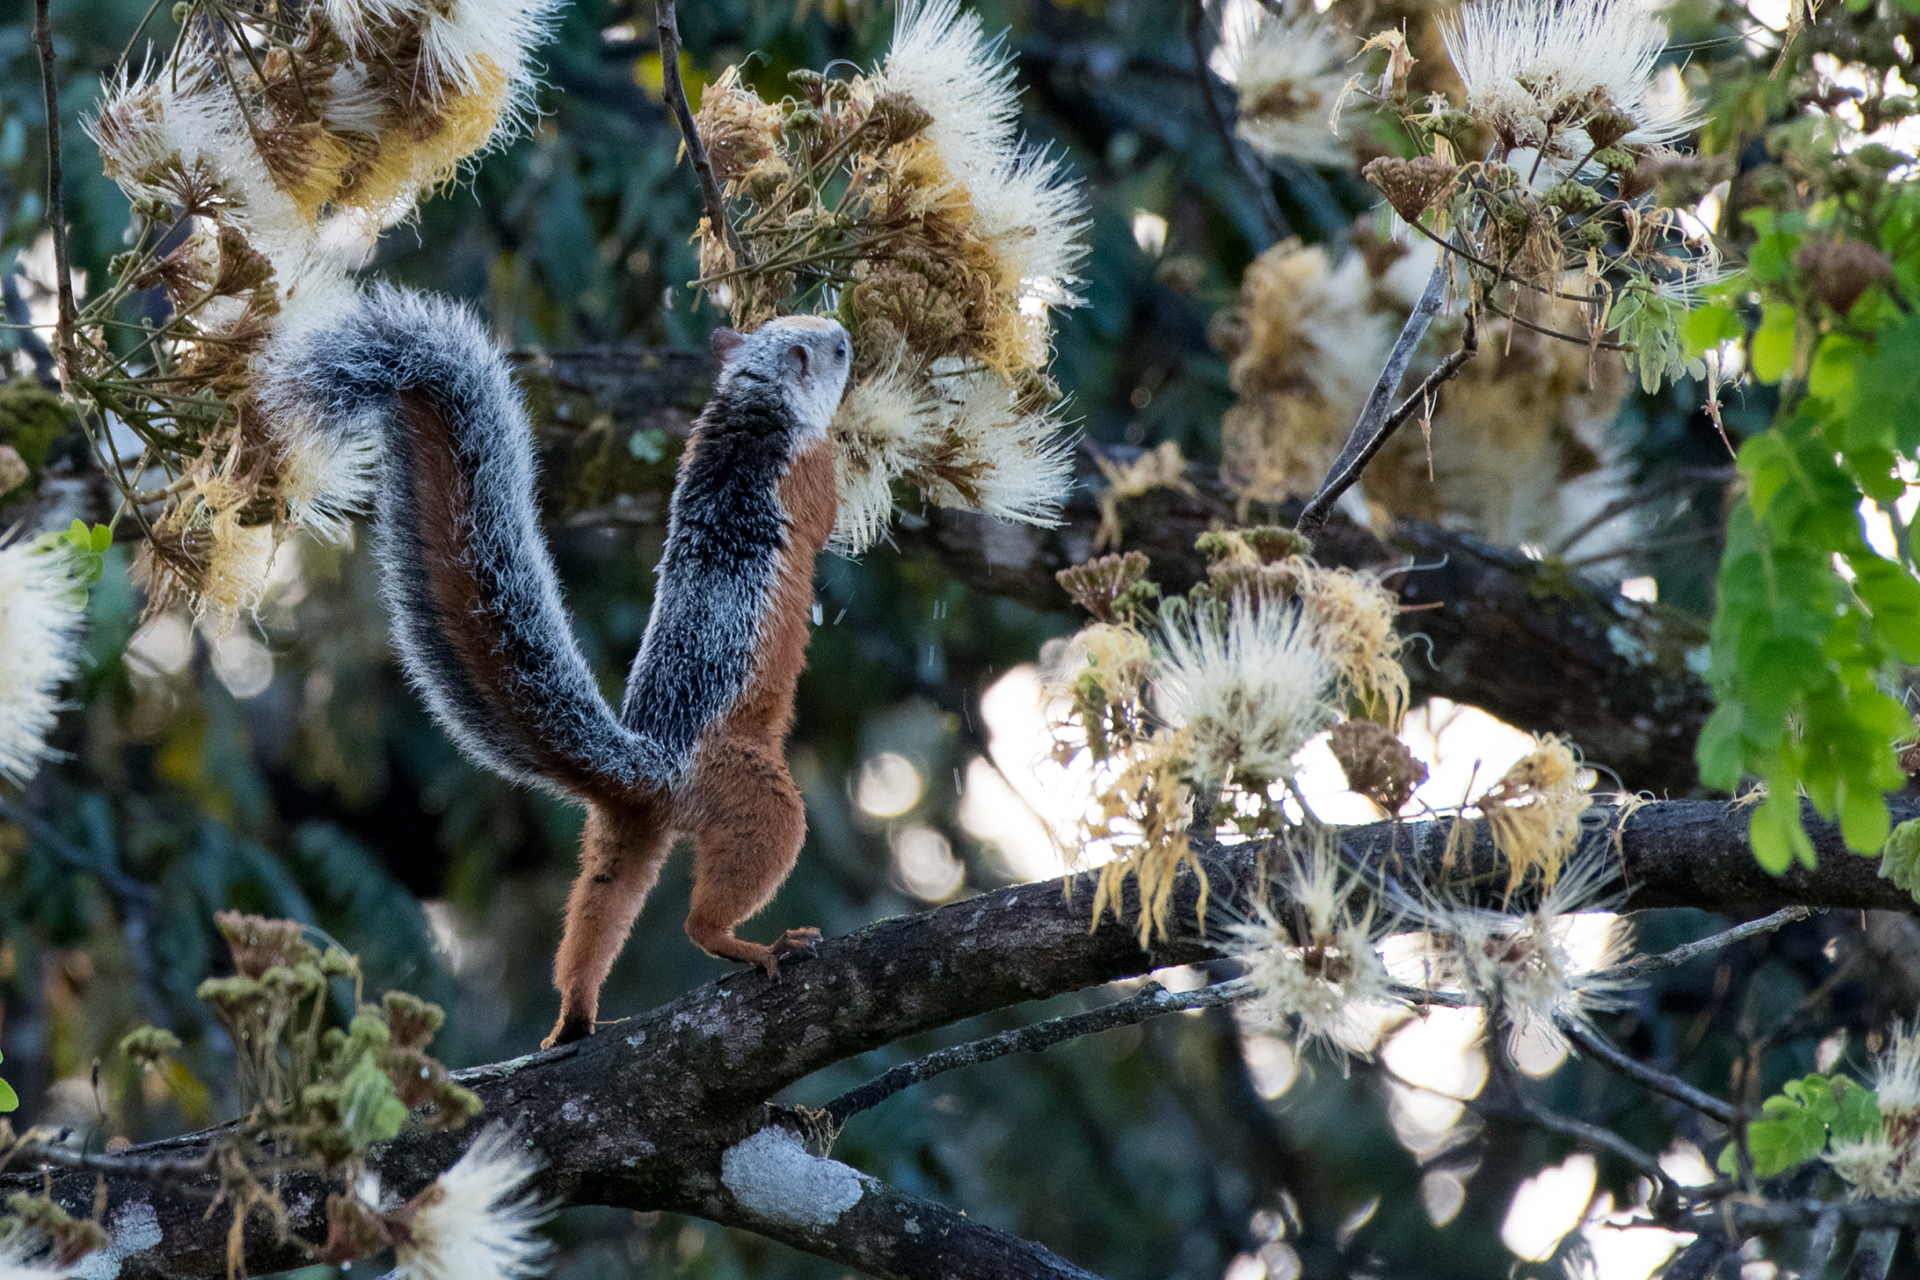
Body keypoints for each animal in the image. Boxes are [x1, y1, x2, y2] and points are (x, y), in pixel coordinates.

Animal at [262, 285, 852, 1047]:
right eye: (831, 349)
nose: (847, 335)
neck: (753, 406)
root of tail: (654, 768)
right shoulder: (807, 469)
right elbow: (832, 510)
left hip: (622, 833)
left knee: (600, 904)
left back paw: (573, 1015)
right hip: (756, 796)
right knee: (709, 909)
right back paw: (755, 946)